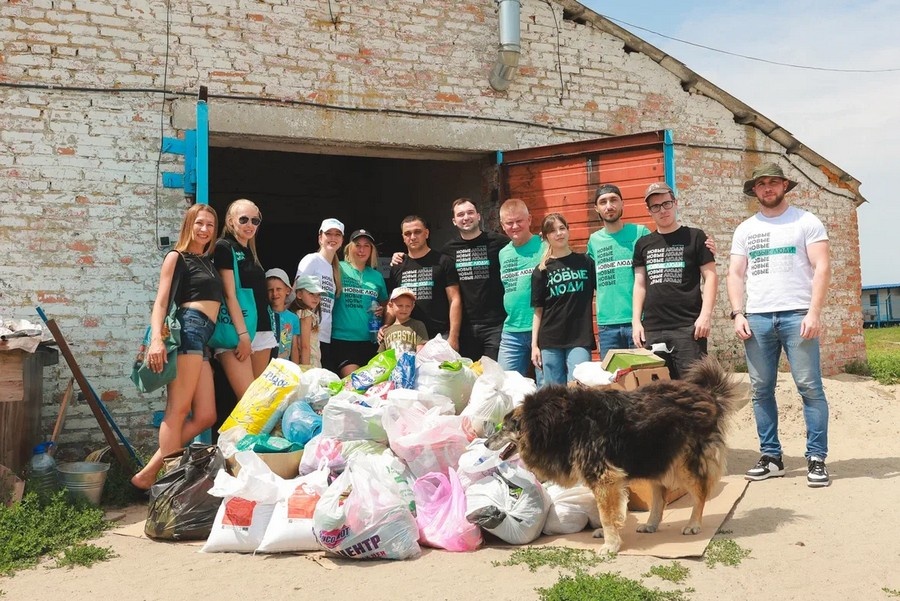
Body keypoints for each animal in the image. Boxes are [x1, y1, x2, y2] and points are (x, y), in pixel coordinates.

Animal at [486, 352, 740, 552]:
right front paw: (608, 534)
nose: (486, 443)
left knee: (699, 493)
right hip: (654, 457)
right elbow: (608, 511)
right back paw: (651, 523)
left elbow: (606, 514)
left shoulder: (604, 477)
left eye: (503, 428)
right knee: (660, 496)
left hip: (685, 463)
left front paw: (610, 544)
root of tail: (708, 395)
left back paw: (693, 524)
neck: (556, 423)